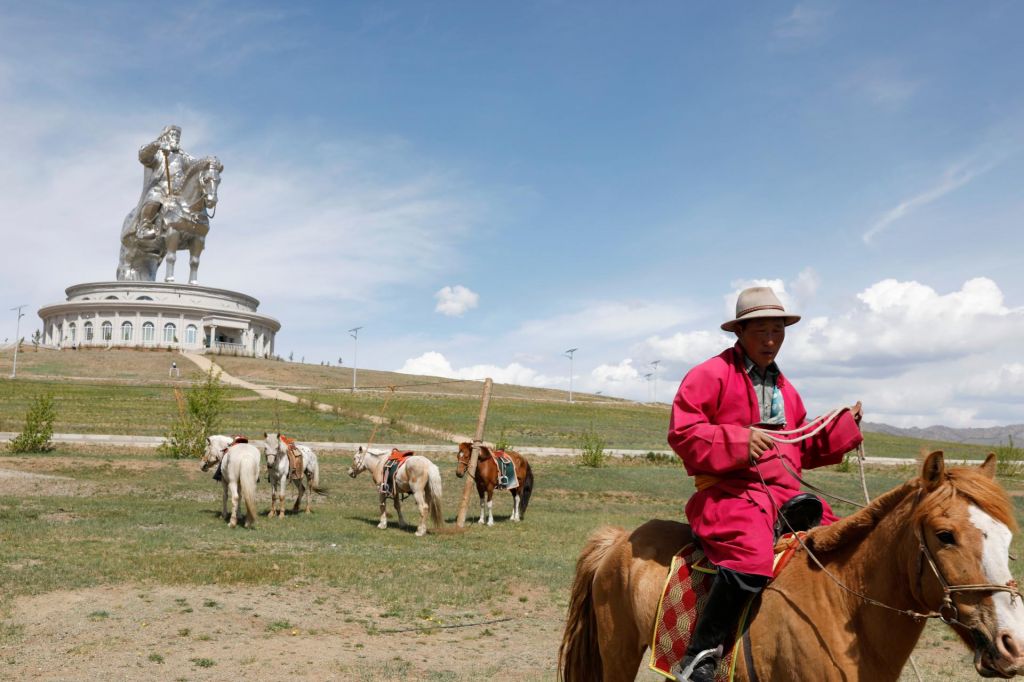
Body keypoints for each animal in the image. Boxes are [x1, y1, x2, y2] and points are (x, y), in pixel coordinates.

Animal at [561, 450, 1024, 679]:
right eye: (945, 535)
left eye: (1007, 536)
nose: (1012, 644)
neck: (841, 608)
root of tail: (618, 540)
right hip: (619, 653)